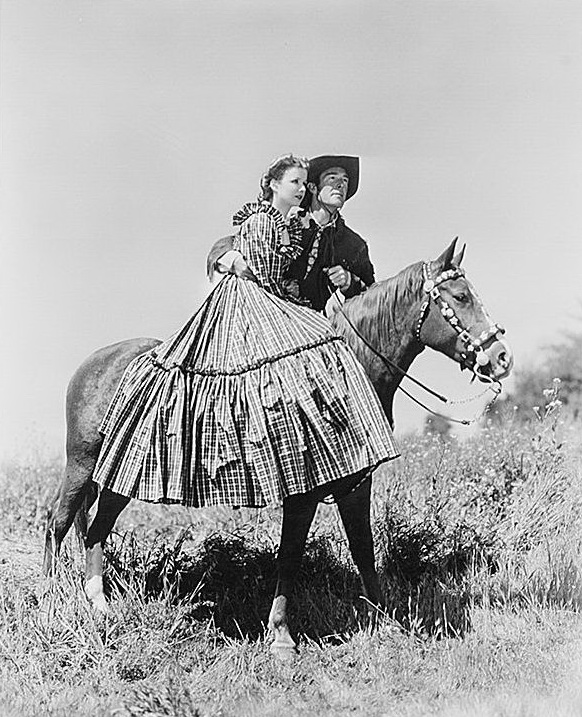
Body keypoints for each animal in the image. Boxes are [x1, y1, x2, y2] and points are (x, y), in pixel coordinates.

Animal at [42, 241, 516, 656]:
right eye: (461, 296)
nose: (501, 357)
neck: (344, 372)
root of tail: (93, 363)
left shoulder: (354, 486)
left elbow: (363, 551)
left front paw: (387, 622)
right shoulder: (303, 492)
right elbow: (289, 558)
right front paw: (282, 637)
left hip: (118, 476)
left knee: (96, 529)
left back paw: (100, 604)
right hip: (83, 463)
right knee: (58, 521)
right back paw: (49, 596)